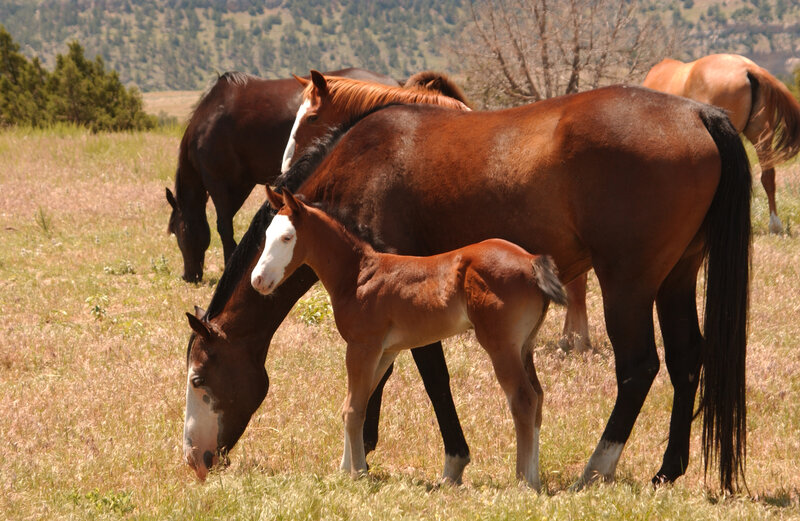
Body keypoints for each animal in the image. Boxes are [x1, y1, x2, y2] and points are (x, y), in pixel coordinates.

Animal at [244, 187, 566, 489]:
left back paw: (524, 482)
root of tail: (531, 261)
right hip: (524, 346)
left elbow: (354, 409)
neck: (358, 275)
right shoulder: (385, 352)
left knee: (523, 399)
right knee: (538, 398)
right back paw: (535, 478)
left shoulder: (362, 346)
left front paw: (359, 474)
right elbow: (354, 404)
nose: (258, 280)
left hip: (501, 346)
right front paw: (345, 469)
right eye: (267, 235)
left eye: (287, 237)